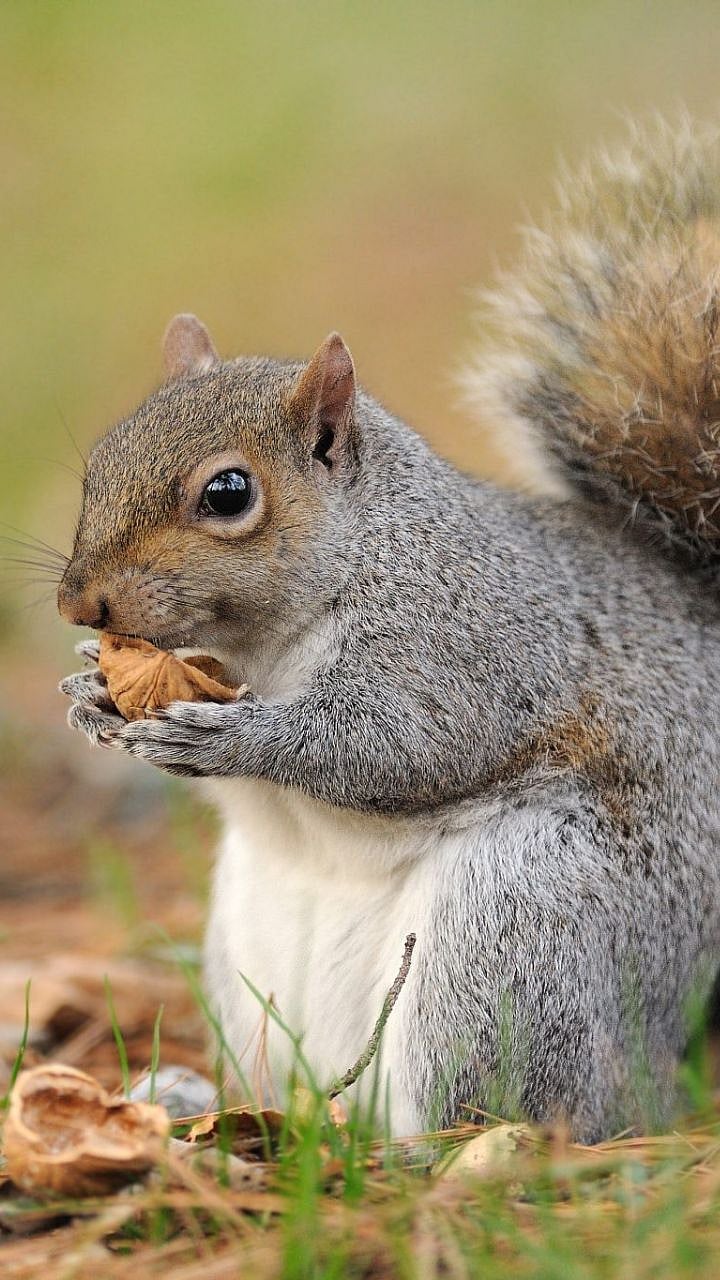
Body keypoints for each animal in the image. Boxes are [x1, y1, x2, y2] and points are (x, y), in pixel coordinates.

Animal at [58, 116, 720, 1142]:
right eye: (98, 462)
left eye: (229, 493)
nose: (80, 604)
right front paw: (91, 693)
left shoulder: (461, 640)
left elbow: (403, 744)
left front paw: (233, 738)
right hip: (248, 974)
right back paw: (202, 1103)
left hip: (518, 932)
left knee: (507, 1112)